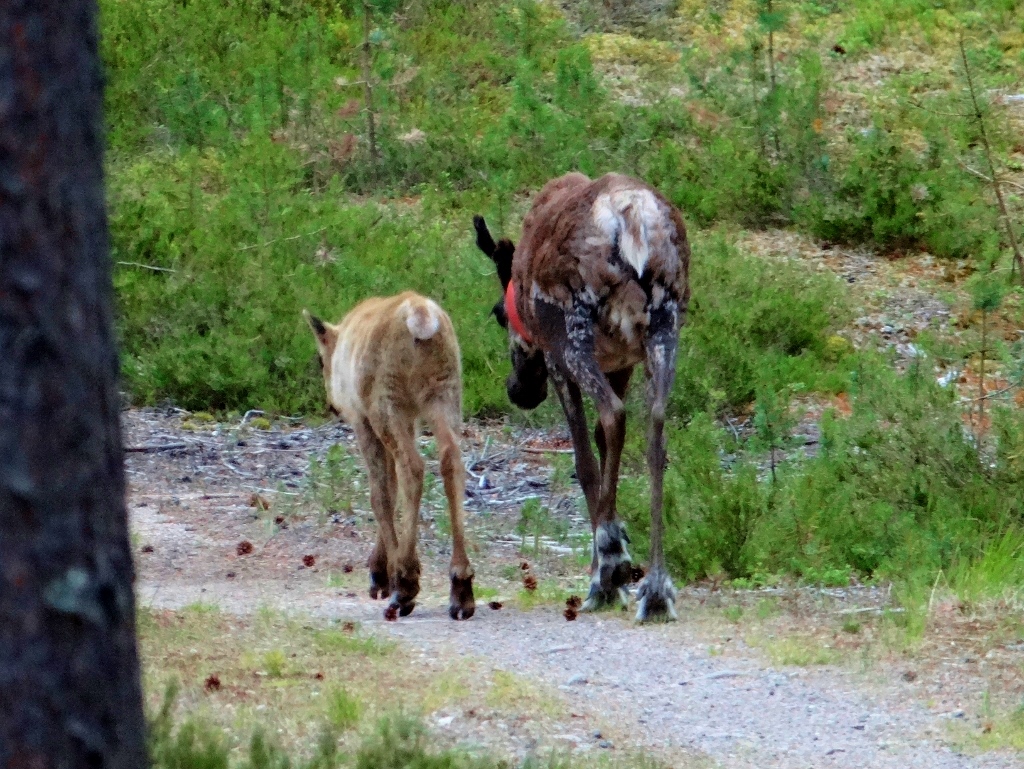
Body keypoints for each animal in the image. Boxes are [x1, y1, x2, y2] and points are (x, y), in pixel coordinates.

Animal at [303, 291, 475, 621]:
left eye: (319, 360)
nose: (332, 405)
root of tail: (421, 318)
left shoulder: (362, 419)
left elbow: (380, 494)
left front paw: (383, 574)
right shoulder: (410, 420)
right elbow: (392, 489)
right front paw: (380, 571)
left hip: (385, 402)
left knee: (413, 466)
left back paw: (405, 584)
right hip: (445, 392)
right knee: (452, 461)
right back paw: (461, 587)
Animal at [473, 172, 690, 622]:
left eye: (499, 315)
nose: (517, 389)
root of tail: (631, 218)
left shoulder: (556, 358)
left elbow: (585, 460)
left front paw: (606, 570)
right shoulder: (622, 361)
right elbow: (606, 448)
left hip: (575, 330)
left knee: (613, 414)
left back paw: (611, 566)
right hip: (665, 325)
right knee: (655, 427)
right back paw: (656, 589)